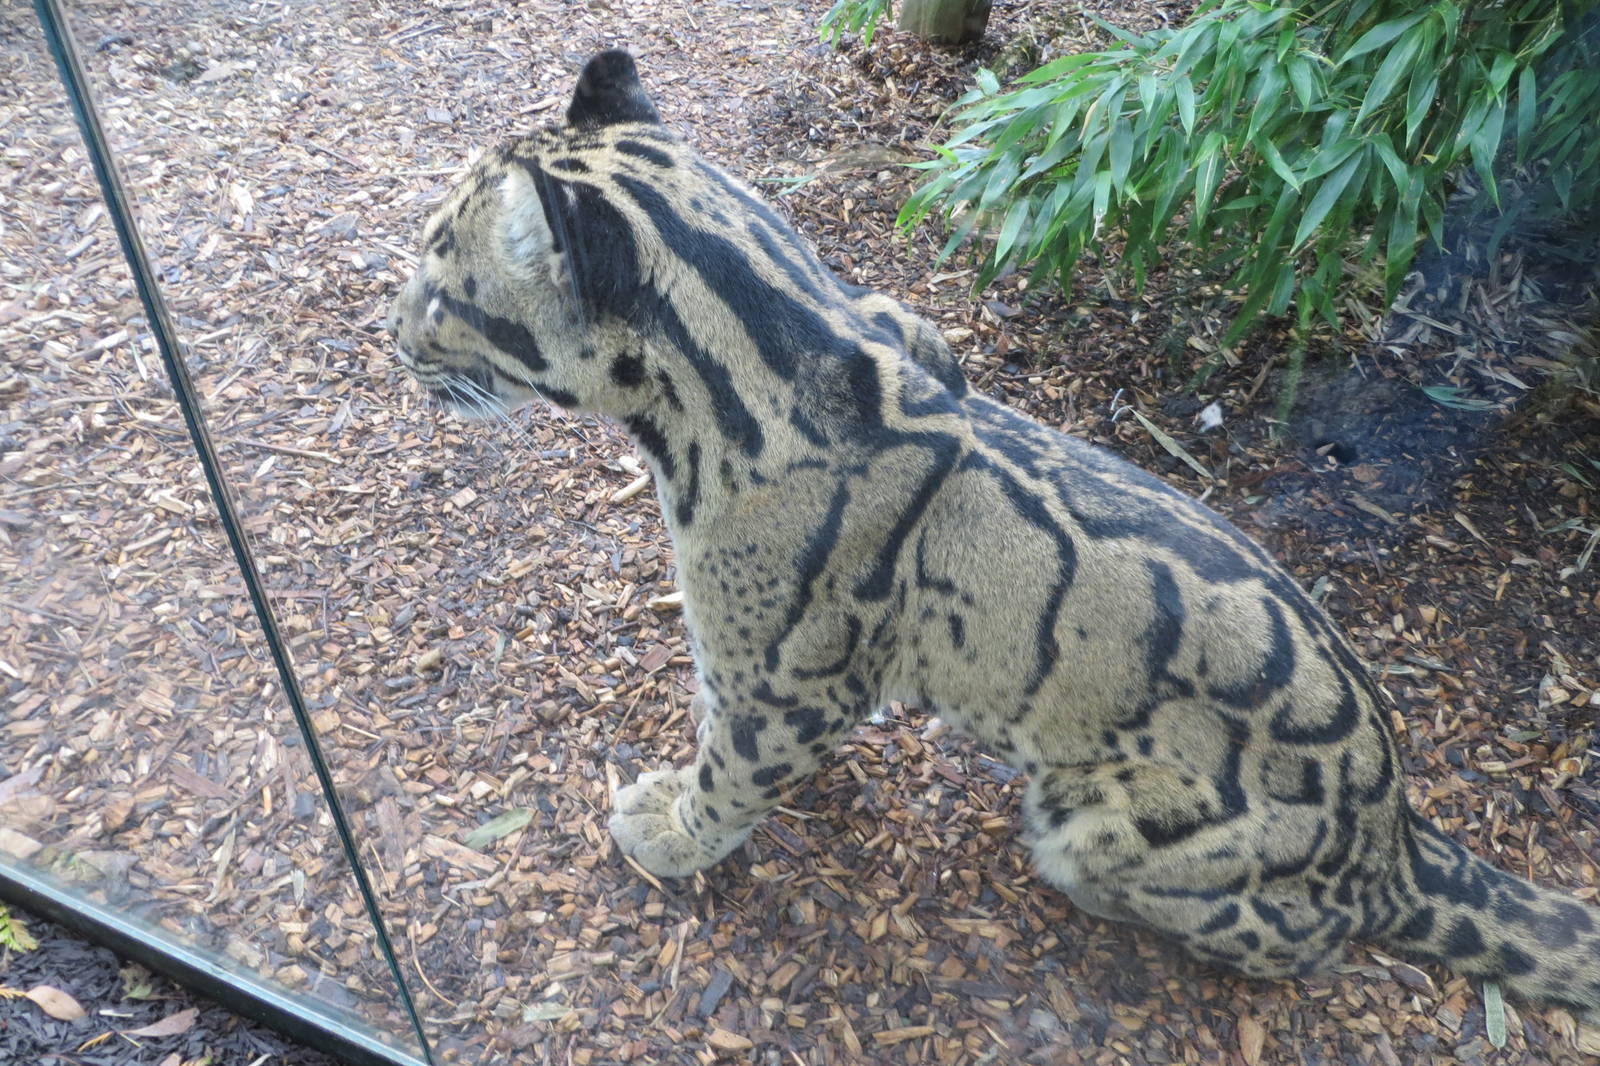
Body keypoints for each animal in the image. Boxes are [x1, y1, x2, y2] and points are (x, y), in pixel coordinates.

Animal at [388, 49, 1600, 1025]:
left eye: (443, 281)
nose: (392, 335)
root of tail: (1401, 842)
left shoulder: (792, 677)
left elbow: (736, 768)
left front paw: (676, 828)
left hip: (1111, 825)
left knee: (1289, 945)